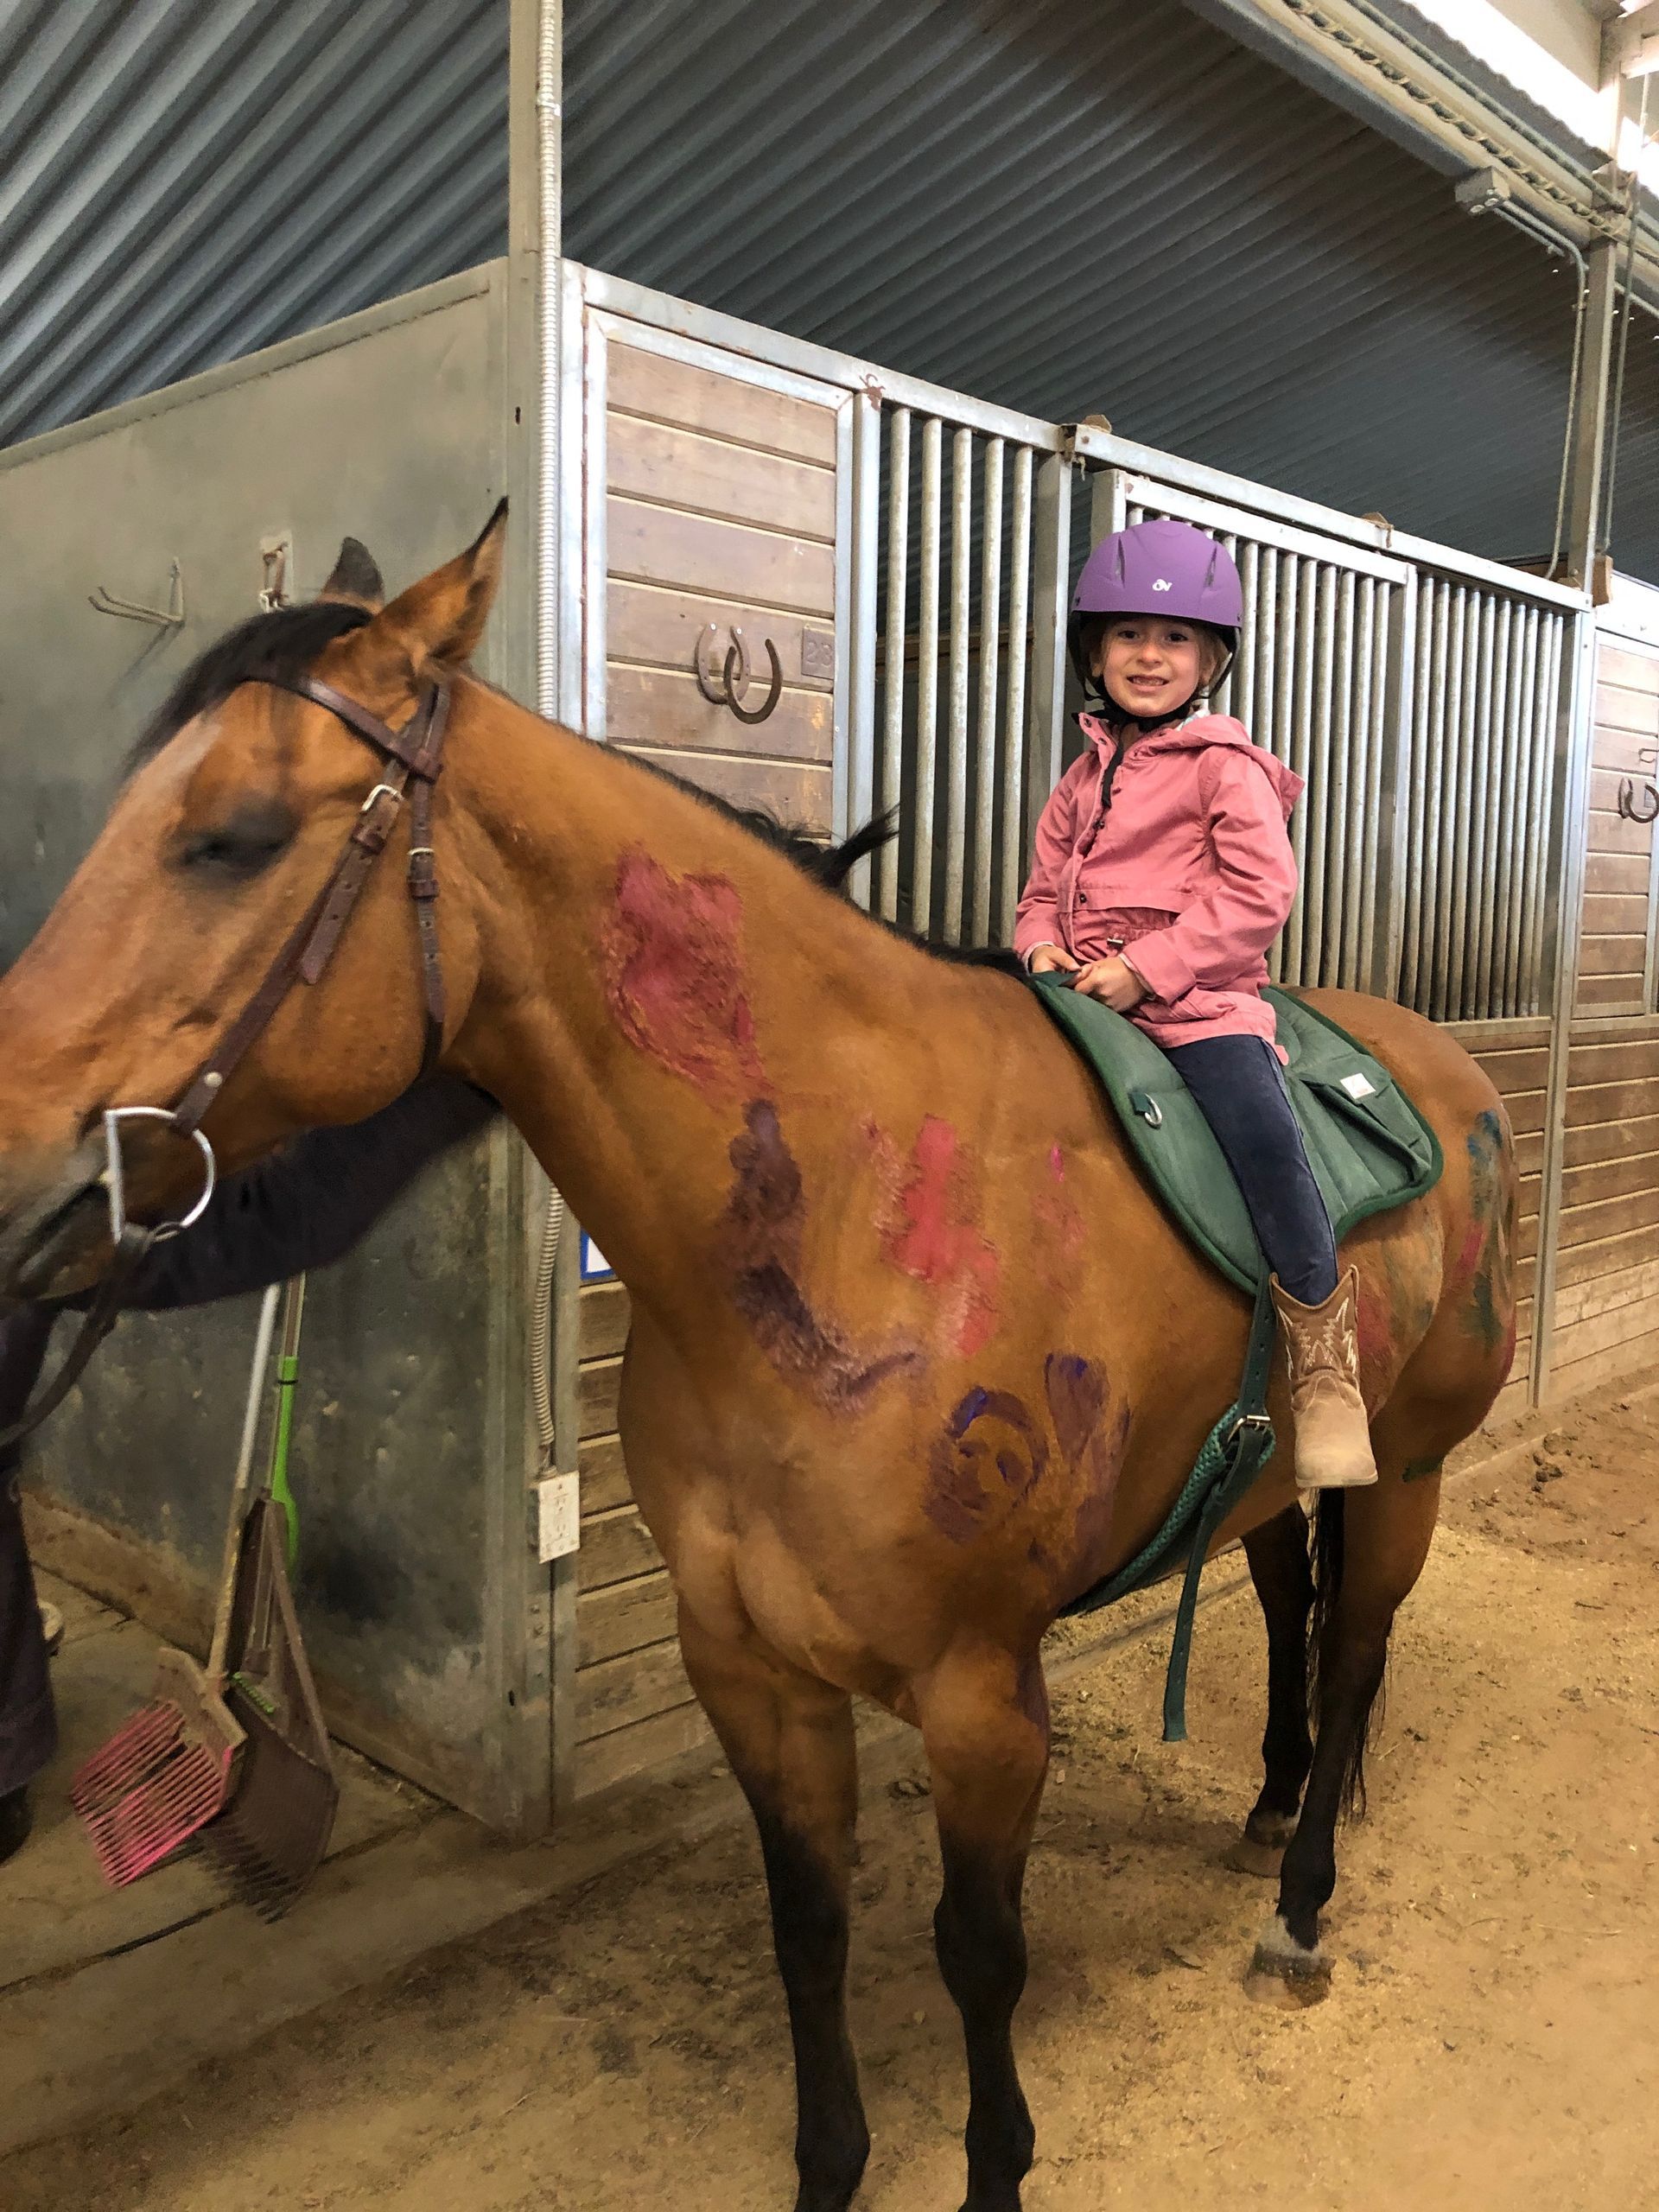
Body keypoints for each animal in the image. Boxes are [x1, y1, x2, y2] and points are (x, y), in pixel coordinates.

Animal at [0, 512, 1516, 2212]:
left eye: (235, 837)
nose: (13, 1169)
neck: (848, 1228)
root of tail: (1438, 1073)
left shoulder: (984, 1699)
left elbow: (978, 1954)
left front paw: (995, 2170)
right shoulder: (749, 1670)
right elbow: (810, 1932)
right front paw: (830, 2166)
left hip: (1412, 1475)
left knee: (1360, 1645)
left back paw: (1302, 1904)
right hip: (1269, 1486)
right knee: (1285, 1598)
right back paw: (1262, 1807)